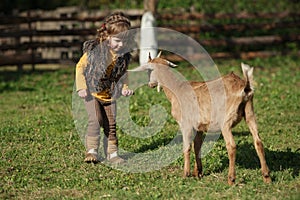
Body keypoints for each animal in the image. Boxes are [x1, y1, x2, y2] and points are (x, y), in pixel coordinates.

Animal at [130, 52, 270, 184]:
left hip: (226, 122)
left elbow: (186, 147)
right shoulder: (199, 127)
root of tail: (245, 87)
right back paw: (266, 177)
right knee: (258, 142)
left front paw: (186, 174)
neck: (176, 89)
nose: (150, 85)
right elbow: (197, 147)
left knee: (231, 146)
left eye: (149, 70)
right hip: (250, 114)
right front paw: (198, 173)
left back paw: (231, 179)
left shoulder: (185, 125)